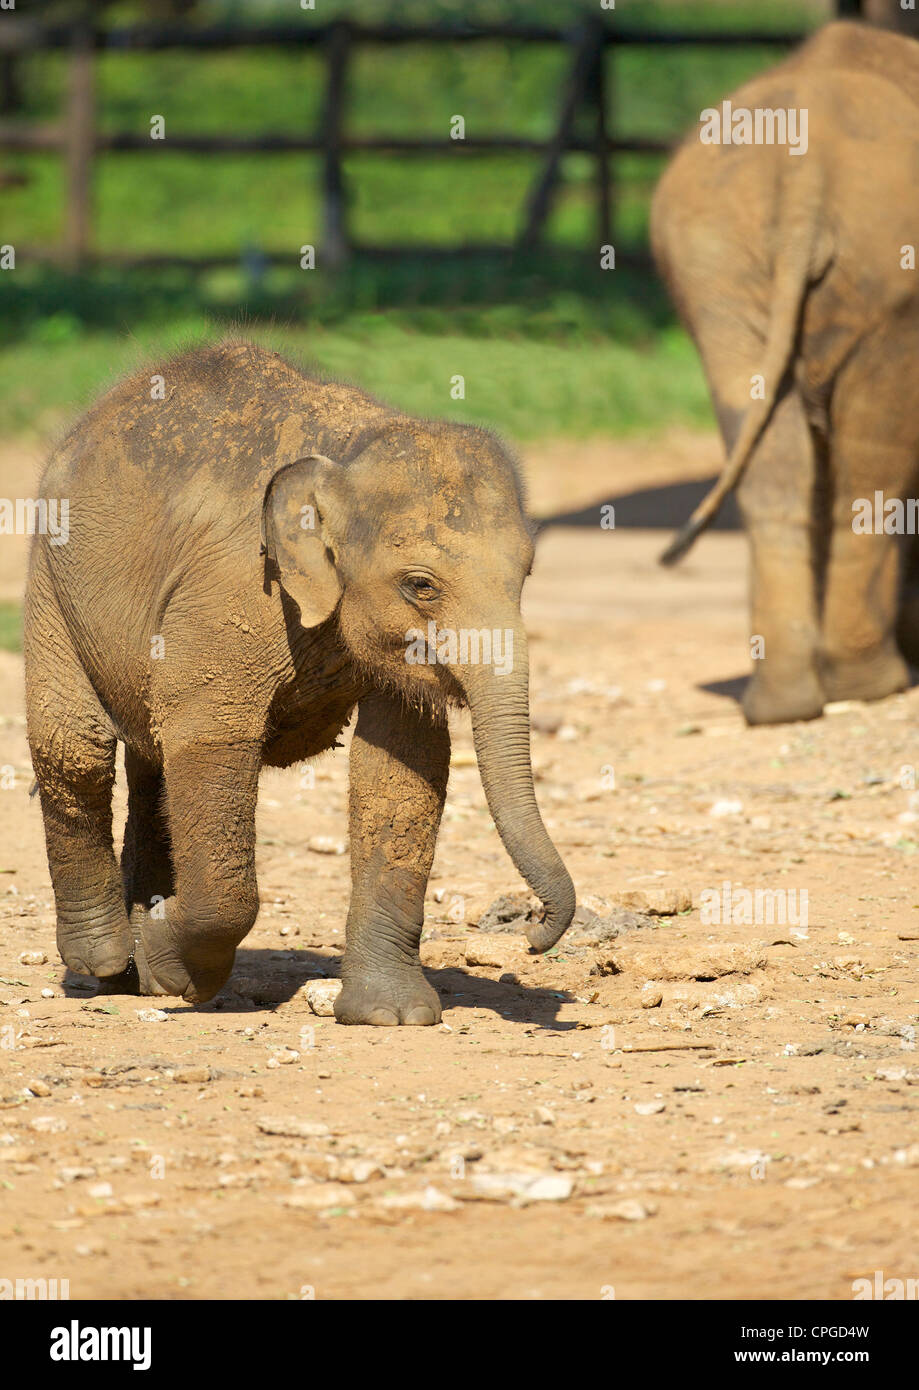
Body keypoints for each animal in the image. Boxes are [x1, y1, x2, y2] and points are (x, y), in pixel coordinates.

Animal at [25, 339, 572, 1023]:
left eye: (527, 572)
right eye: (420, 584)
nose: (532, 934)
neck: (347, 452)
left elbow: (404, 763)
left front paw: (389, 1017)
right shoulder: (233, 594)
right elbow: (208, 737)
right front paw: (175, 967)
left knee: (151, 763)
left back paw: (136, 965)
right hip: (51, 584)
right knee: (77, 749)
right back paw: (103, 961)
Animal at [647, 21, 917, 728]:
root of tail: (806, 166)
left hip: (713, 262)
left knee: (768, 451)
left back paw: (783, 704)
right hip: (892, 276)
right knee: (872, 463)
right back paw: (870, 683)